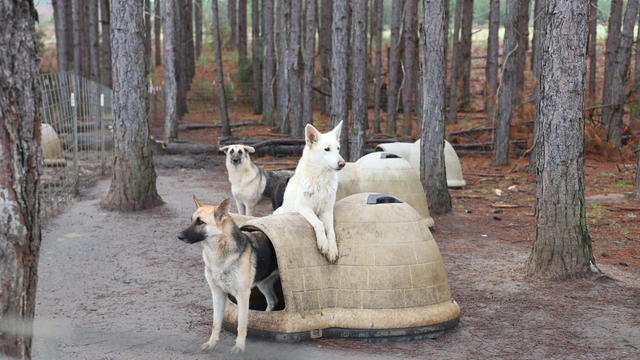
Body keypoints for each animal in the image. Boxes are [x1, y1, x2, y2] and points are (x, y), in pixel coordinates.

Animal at [180, 195, 280, 352]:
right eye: (192, 220)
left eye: (201, 222)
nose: (179, 236)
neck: (218, 254)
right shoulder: (217, 293)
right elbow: (216, 323)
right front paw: (212, 343)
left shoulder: (243, 295)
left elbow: (241, 324)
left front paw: (239, 347)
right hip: (263, 285)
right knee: (272, 301)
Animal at [274, 121, 344, 262]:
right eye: (327, 149)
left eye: (338, 148)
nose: (342, 163)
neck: (321, 180)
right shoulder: (303, 207)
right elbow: (319, 224)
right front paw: (324, 244)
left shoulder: (327, 211)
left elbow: (331, 231)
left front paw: (332, 249)